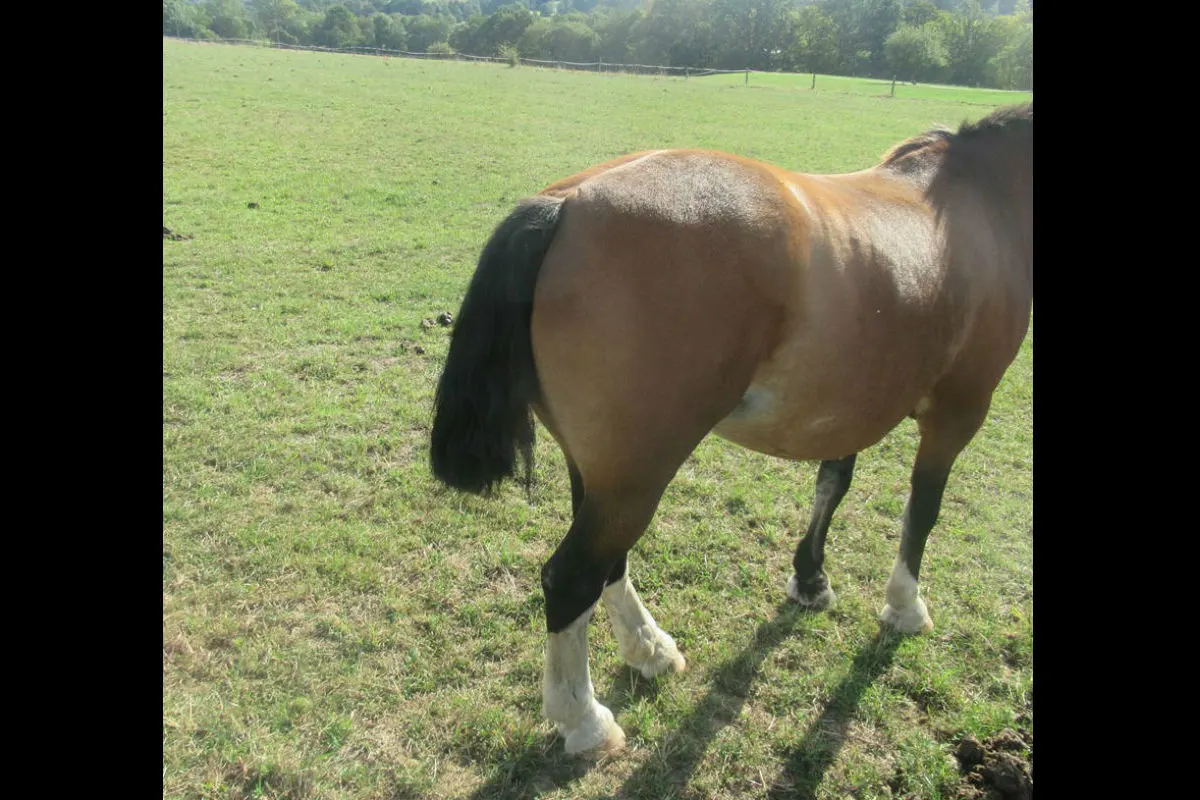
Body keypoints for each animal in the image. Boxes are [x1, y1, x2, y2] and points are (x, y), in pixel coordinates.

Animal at [429, 103, 1032, 755]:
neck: (983, 200)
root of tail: (565, 205)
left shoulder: (853, 405)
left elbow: (833, 483)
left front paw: (810, 578)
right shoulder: (960, 409)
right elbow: (922, 509)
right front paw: (904, 606)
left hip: (602, 471)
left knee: (608, 566)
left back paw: (648, 649)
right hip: (637, 475)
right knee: (570, 580)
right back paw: (585, 721)